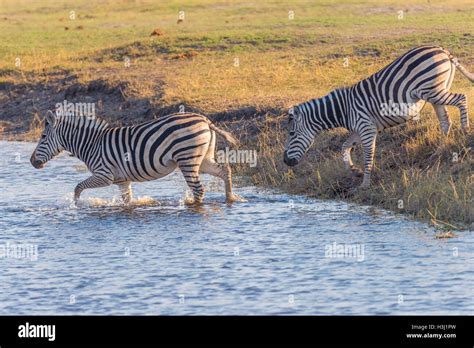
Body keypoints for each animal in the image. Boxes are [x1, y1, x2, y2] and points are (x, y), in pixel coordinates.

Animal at [30, 111, 246, 204]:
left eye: (43, 137)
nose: (32, 162)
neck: (91, 144)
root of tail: (205, 120)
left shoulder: (104, 175)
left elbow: (77, 187)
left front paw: (75, 206)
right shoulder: (122, 180)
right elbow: (127, 200)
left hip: (188, 159)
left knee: (199, 189)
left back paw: (193, 205)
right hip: (203, 159)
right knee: (225, 170)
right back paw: (231, 198)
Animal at [284, 46, 472, 189]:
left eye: (292, 134)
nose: (285, 161)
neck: (343, 109)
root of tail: (443, 50)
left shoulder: (367, 128)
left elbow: (368, 157)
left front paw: (365, 184)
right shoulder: (360, 129)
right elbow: (344, 147)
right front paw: (354, 170)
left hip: (431, 90)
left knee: (462, 98)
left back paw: (465, 130)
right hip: (435, 92)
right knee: (445, 121)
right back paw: (438, 151)